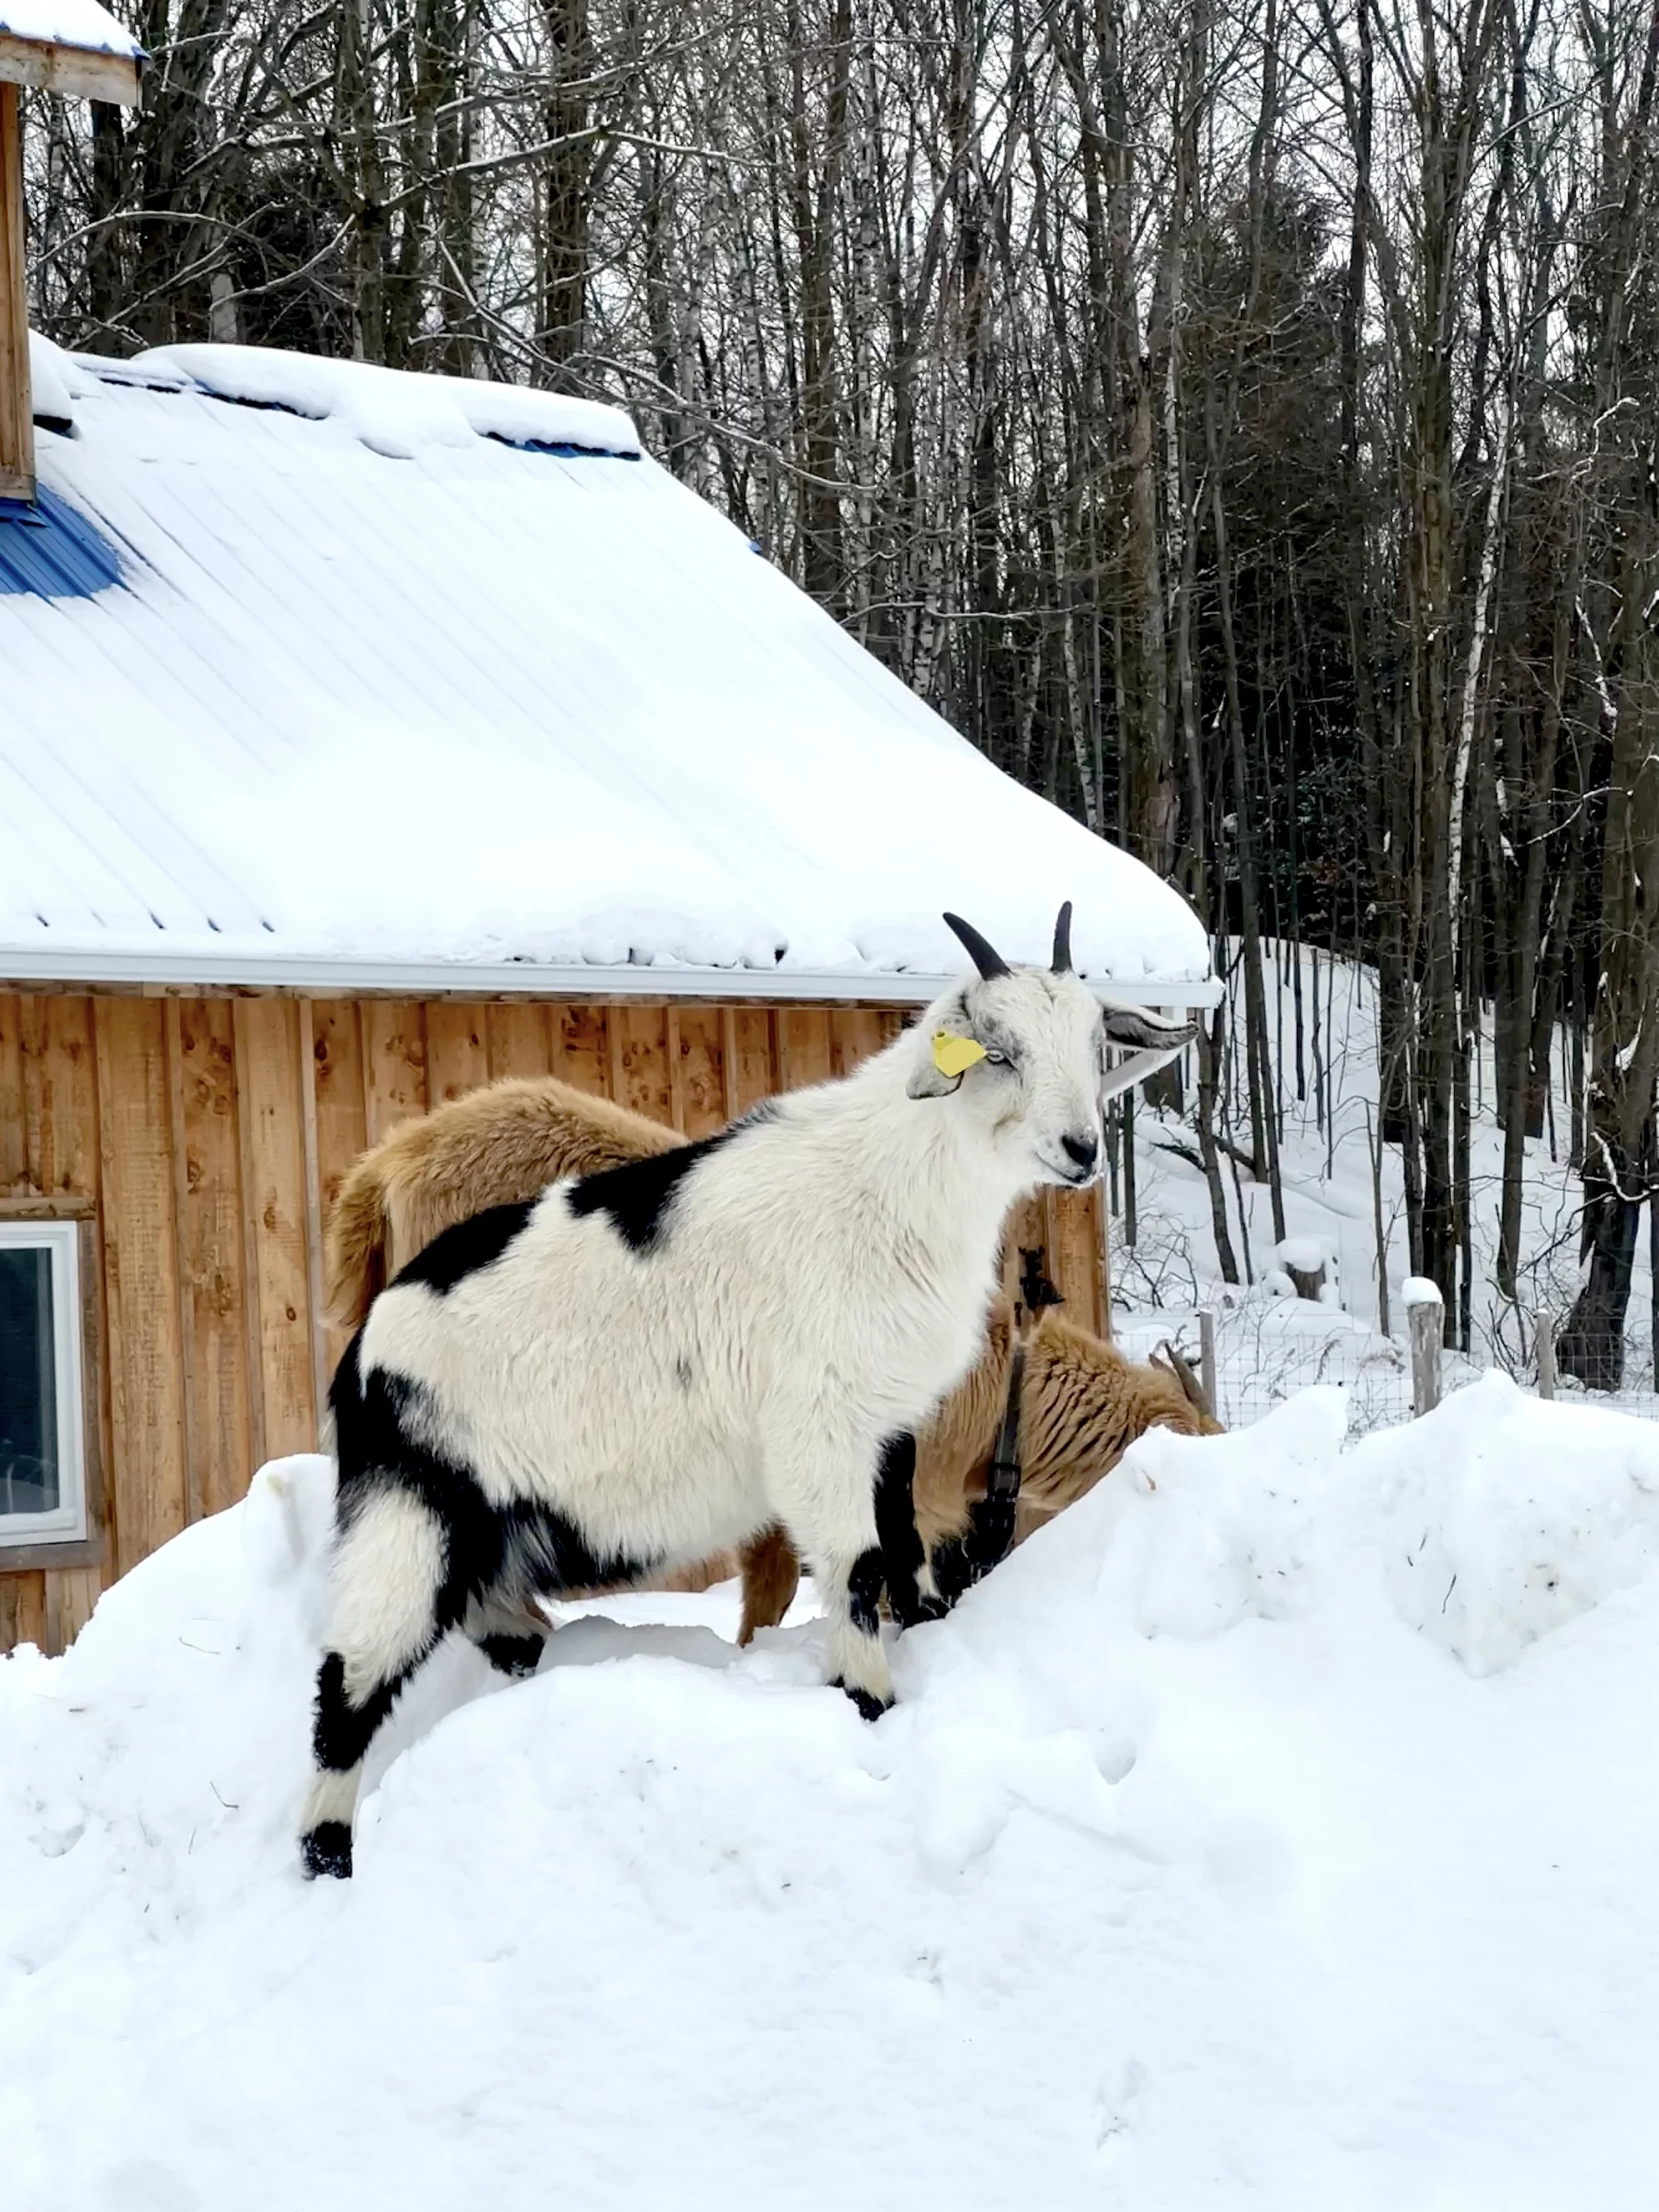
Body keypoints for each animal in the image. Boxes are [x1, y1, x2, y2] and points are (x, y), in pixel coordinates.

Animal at [301, 907, 1191, 1875]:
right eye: (998, 1049)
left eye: (1097, 1042)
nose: (1080, 1151)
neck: (888, 1189)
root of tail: (366, 1350)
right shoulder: (817, 1426)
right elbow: (856, 1569)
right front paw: (870, 1705)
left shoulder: (890, 1430)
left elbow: (903, 1563)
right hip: (411, 1512)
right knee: (349, 1675)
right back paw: (327, 1855)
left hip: (491, 1534)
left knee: (501, 1627)